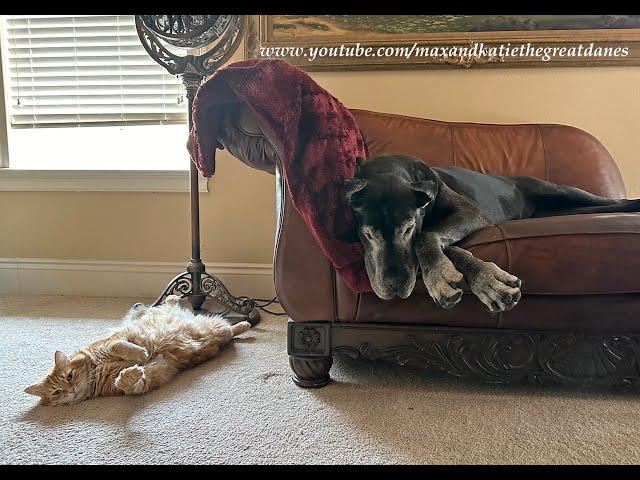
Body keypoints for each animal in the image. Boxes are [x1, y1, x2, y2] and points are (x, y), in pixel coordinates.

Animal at [22, 294, 249, 404]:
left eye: (69, 376)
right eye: (57, 392)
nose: (71, 391)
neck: (96, 369)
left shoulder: (117, 337)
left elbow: (118, 345)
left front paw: (140, 353)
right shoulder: (149, 378)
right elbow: (130, 383)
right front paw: (129, 373)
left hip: (212, 327)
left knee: (170, 304)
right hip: (217, 333)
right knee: (228, 330)